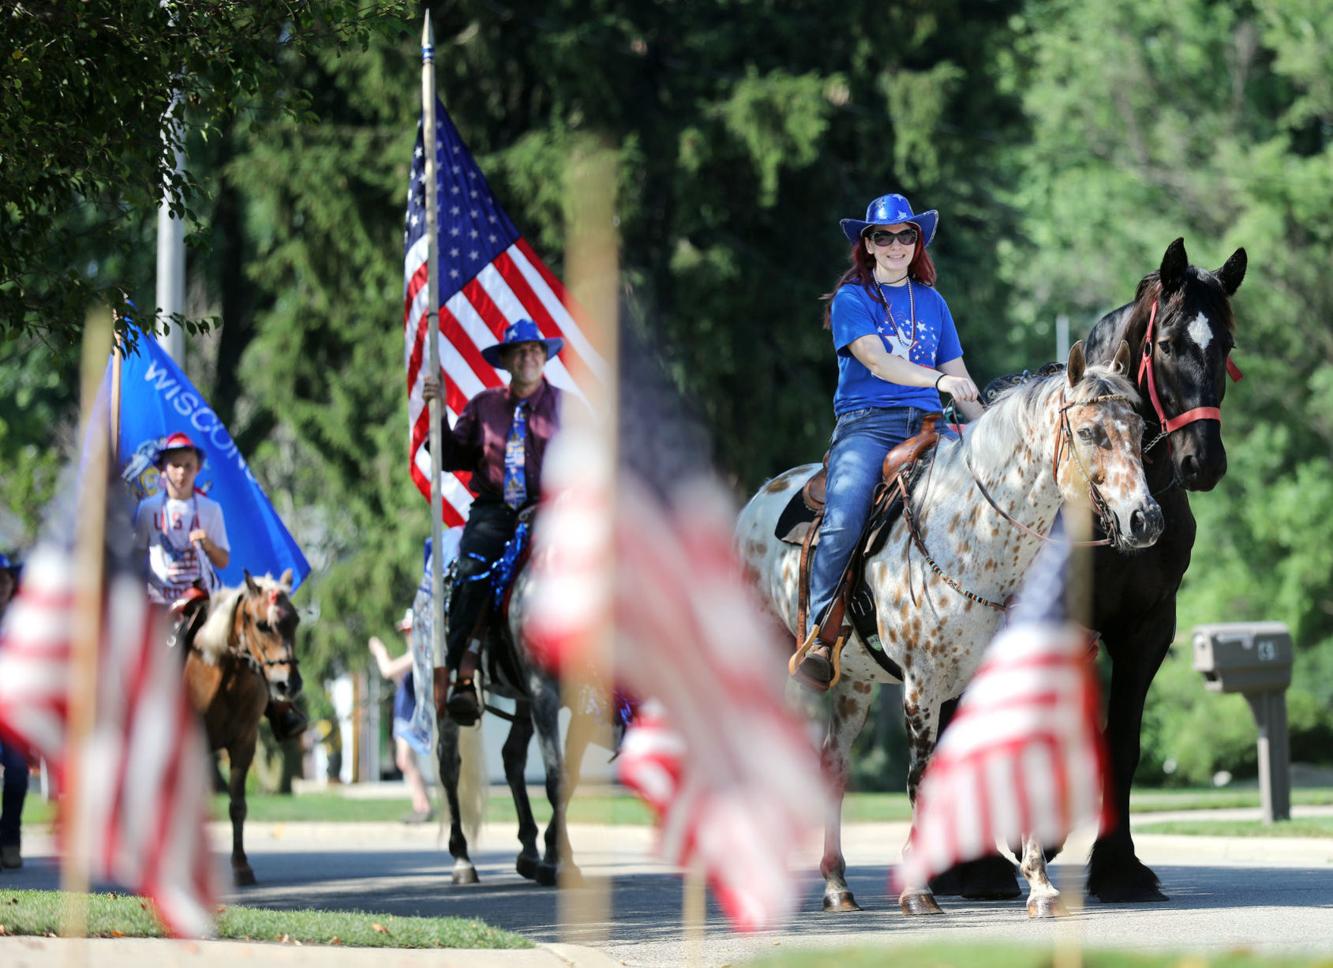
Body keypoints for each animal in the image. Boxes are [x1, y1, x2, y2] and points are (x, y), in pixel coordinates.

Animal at [183, 573, 301, 890]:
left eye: (296, 620)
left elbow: (237, 806)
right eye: (262, 624)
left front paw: (241, 866)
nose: (288, 684)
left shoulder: (244, 743)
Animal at [735, 344, 1162, 922]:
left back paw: (837, 885)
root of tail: (760, 496)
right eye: (1091, 432)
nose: (1146, 520)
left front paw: (1040, 886)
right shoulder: (922, 686)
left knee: (833, 766)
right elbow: (923, 778)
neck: (975, 541)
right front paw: (918, 889)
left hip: (855, 685)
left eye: (1139, 429)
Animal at [938, 238, 1247, 906]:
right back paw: (971, 864)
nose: (1202, 462)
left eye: (1227, 346)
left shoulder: (1146, 629)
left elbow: (1121, 743)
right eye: (1168, 344)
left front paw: (1118, 865)